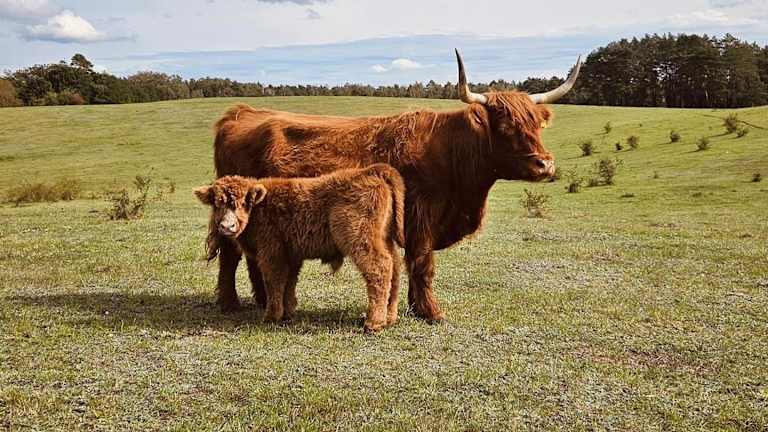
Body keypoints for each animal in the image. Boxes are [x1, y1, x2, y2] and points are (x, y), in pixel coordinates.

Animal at [195, 164, 405, 333]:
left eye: (244, 203)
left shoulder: (272, 254)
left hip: (361, 239)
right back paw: (390, 317)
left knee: (380, 268)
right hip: (384, 239)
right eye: (217, 203)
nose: (227, 226)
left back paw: (374, 322)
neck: (260, 208)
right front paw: (287, 313)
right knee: (395, 267)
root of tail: (371, 171)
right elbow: (289, 283)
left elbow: (274, 282)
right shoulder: (291, 255)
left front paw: (271, 316)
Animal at [207, 49, 582, 322]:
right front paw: (431, 312)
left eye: (537, 125)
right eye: (505, 127)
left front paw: (417, 307)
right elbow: (423, 264)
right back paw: (230, 303)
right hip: (232, 206)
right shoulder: (422, 218)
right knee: (230, 254)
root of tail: (242, 112)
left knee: (252, 257)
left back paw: (261, 300)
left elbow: (414, 265)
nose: (545, 164)